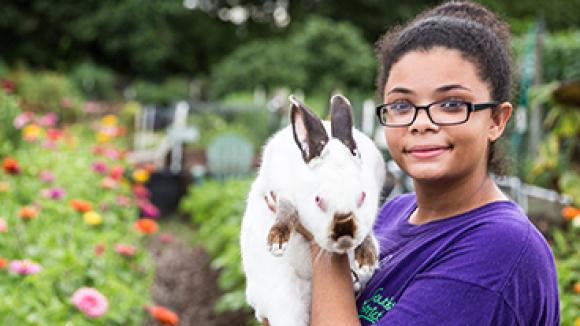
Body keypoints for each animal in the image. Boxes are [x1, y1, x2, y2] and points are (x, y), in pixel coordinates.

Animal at [240, 94, 386, 326]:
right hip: (285, 302)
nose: (345, 234)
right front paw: (277, 240)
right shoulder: (280, 187)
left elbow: (368, 229)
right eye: (318, 200)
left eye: (362, 196)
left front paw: (366, 258)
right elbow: (287, 210)